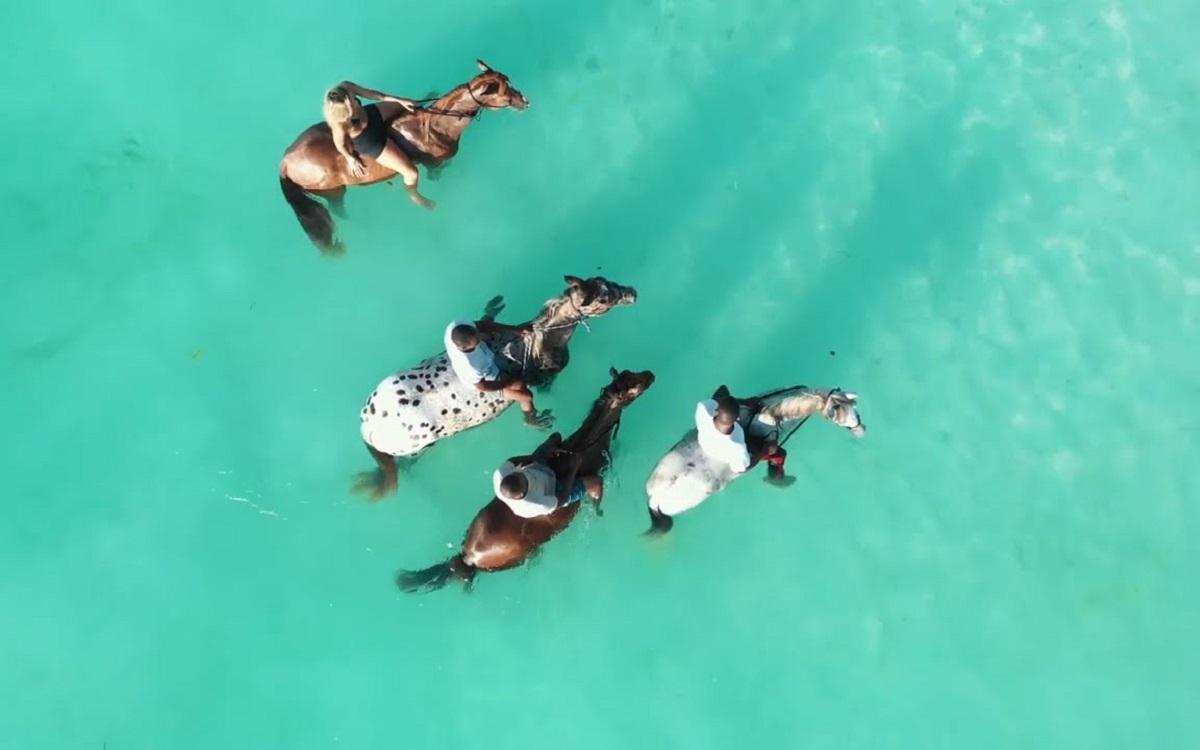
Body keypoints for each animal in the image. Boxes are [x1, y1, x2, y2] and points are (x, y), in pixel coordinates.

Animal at [280, 57, 530, 254]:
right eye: (504, 95)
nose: (525, 102)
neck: (434, 127)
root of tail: (284, 162)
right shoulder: (434, 164)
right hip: (333, 190)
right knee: (338, 209)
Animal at [352, 273, 643, 496]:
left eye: (606, 281)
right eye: (604, 299)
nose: (632, 292)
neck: (538, 341)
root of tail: (368, 425)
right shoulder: (543, 380)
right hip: (417, 448)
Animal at [643, 386, 868, 532]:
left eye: (857, 411)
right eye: (849, 419)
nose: (862, 431)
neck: (770, 416)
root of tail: (655, 499)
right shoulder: (770, 448)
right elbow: (778, 456)